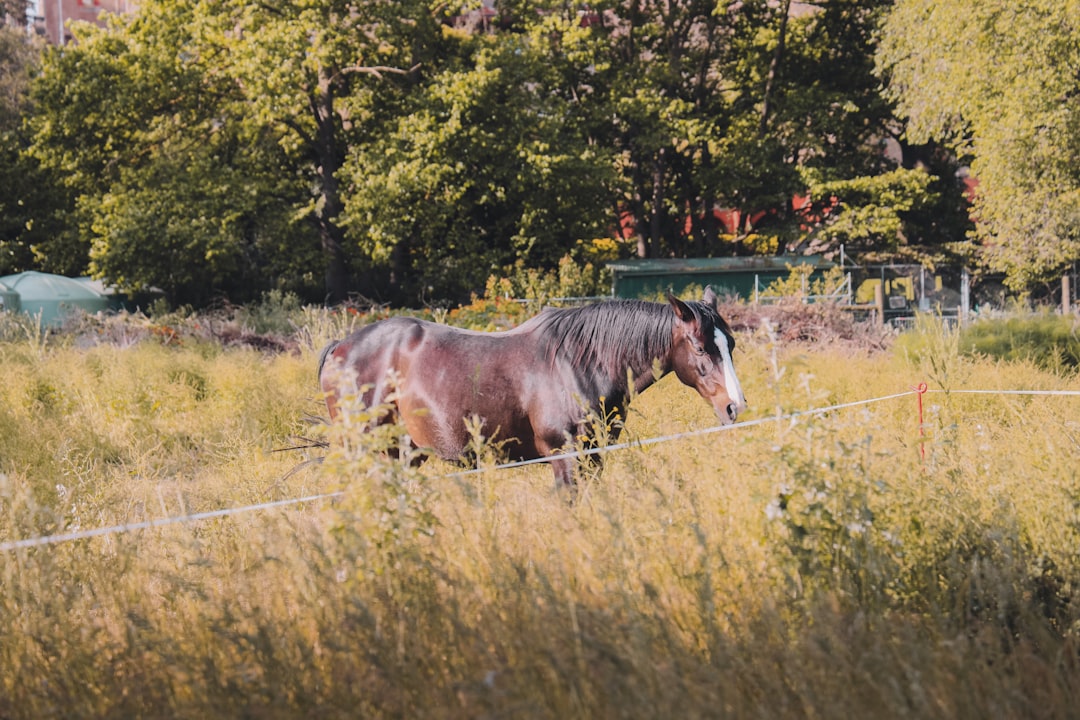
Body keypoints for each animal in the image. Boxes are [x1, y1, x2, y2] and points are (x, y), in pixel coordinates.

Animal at [315, 284, 747, 483]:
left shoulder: (594, 456)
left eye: (730, 344)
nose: (734, 407)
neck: (579, 363)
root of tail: (342, 347)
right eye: (700, 347)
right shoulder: (564, 456)